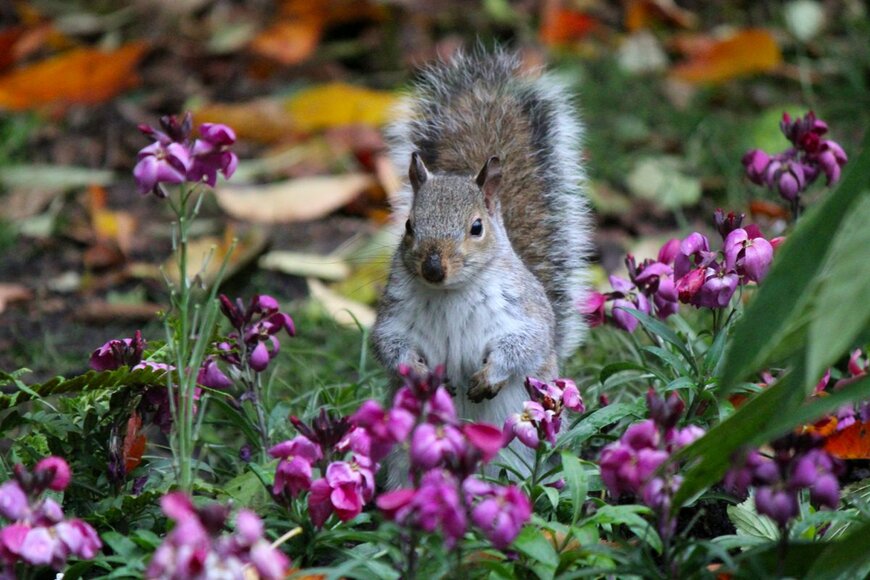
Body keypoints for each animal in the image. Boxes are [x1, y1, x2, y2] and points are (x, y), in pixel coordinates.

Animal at [372, 48, 588, 466]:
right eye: (408, 225)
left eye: (476, 228)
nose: (433, 268)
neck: (451, 292)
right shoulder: (394, 314)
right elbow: (390, 345)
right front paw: (420, 374)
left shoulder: (524, 310)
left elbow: (528, 343)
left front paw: (488, 377)